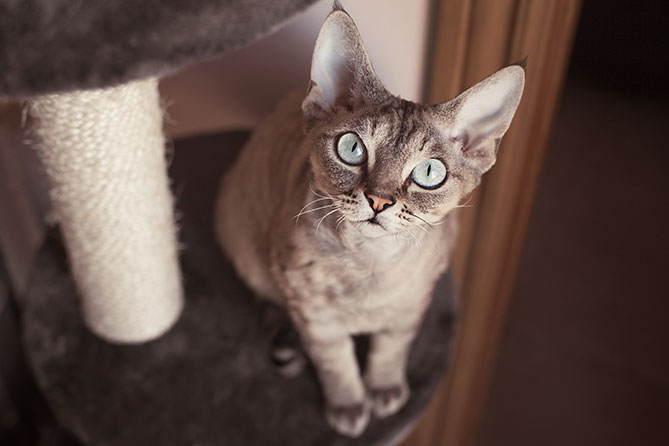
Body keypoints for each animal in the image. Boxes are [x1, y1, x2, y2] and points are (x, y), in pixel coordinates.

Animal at [214, 1, 520, 438]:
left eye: (429, 173)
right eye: (351, 148)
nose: (379, 200)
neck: (371, 266)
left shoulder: (413, 306)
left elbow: (390, 350)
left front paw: (385, 390)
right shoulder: (314, 316)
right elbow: (337, 364)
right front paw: (349, 407)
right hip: (247, 245)